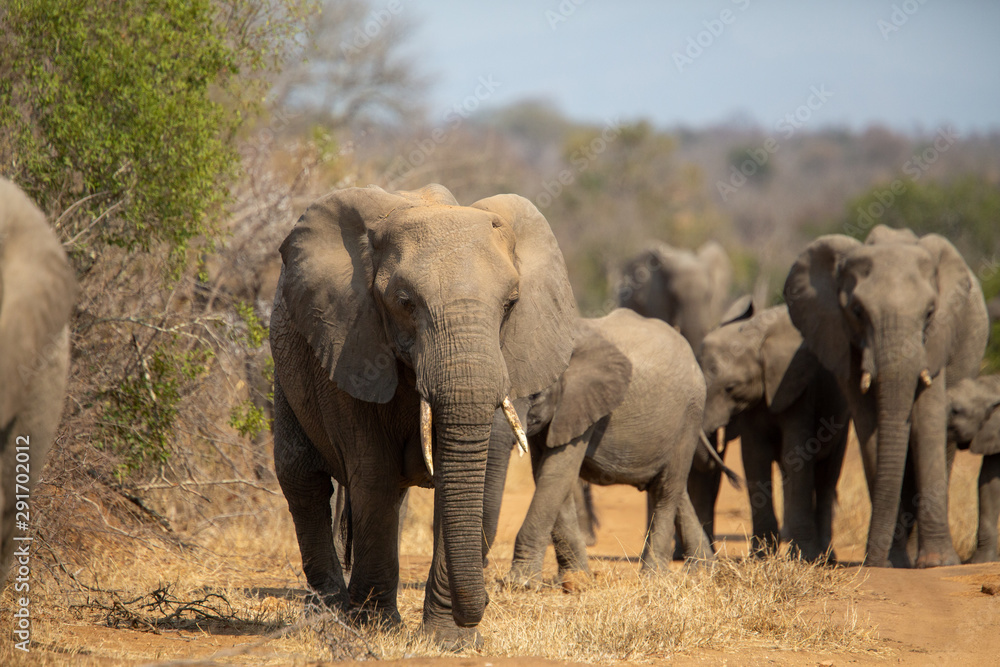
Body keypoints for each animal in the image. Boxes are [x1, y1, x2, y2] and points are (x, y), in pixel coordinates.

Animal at [269, 184, 578, 647]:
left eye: (511, 304)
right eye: (404, 303)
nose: (483, 605)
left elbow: (457, 480)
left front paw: (450, 641)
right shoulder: (351, 341)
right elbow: (374, 474)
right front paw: (376, 628)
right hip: (286, 365)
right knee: (302, 477)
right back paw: (329, 612)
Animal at [503, 308, 714, 587]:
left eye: (536, 394)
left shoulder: (582, 402)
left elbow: (556, 473)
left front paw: (520, 584)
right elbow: (547, 474)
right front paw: (573, 579)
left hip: (690, 414)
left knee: (667, 489)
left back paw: (654, 578)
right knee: (672, 488)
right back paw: (703, 572)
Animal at [698, 302, 849, 562]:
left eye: (731, 387)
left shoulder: (797, 387)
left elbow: (796, 452)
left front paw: (803, 557)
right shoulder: (753, 403)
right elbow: (754, 457)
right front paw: (760, 557)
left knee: (827, 477)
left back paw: (826, 557)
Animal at [784, 225, 989, 568]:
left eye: (930, 312)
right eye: (857, 311)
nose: (873, 559)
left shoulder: (937, 338)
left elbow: (928, 418)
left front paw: (938, 564)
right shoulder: (842, 338)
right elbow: (870, 428)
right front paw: (889, 560)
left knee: (942, 445)